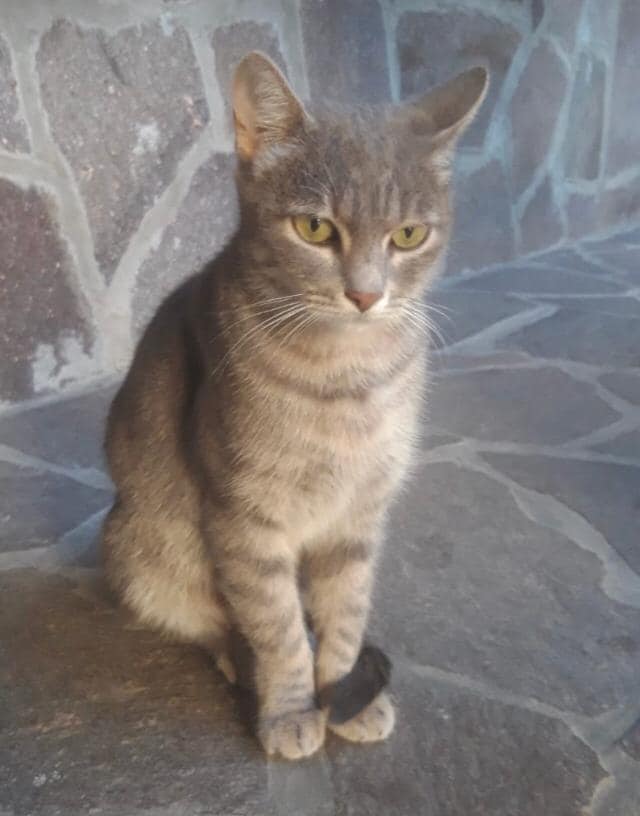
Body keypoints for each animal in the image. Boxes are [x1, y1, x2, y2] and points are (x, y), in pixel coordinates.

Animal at [101, 51, 488, 760]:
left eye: (409, 235)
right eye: (315, 227)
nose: (365, 295)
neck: (348, 379)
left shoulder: (360, 517)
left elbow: (345, 613)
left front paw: (342, 695)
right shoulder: (245, 518)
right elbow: (276, 628)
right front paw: (289, 710)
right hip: (143, 550)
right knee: (214, 620)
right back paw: (237, 661)